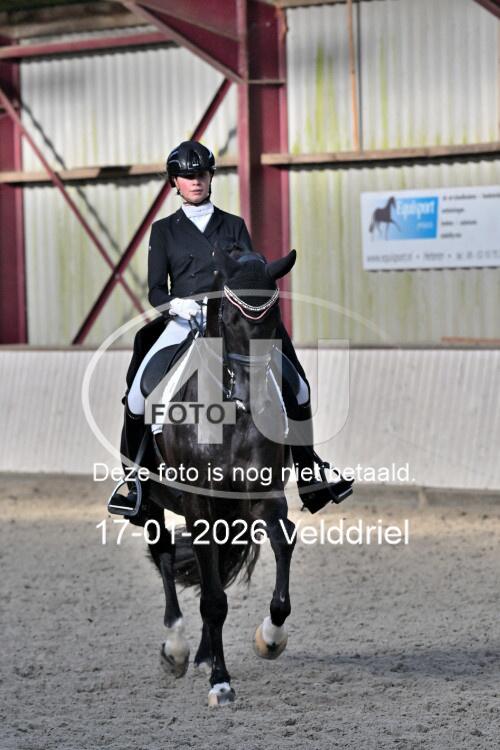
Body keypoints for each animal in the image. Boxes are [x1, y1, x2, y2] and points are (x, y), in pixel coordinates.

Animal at [142, 247, 298, 706]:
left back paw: (204, 655)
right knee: (163, 554)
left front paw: (270, 638)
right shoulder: (199, 504)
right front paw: (221, 683)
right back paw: (177, 650)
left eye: (273, 319)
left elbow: (283, 545)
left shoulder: (265, 495)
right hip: (154, 501)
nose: (255, 398)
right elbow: (211, 598)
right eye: (228, 320)